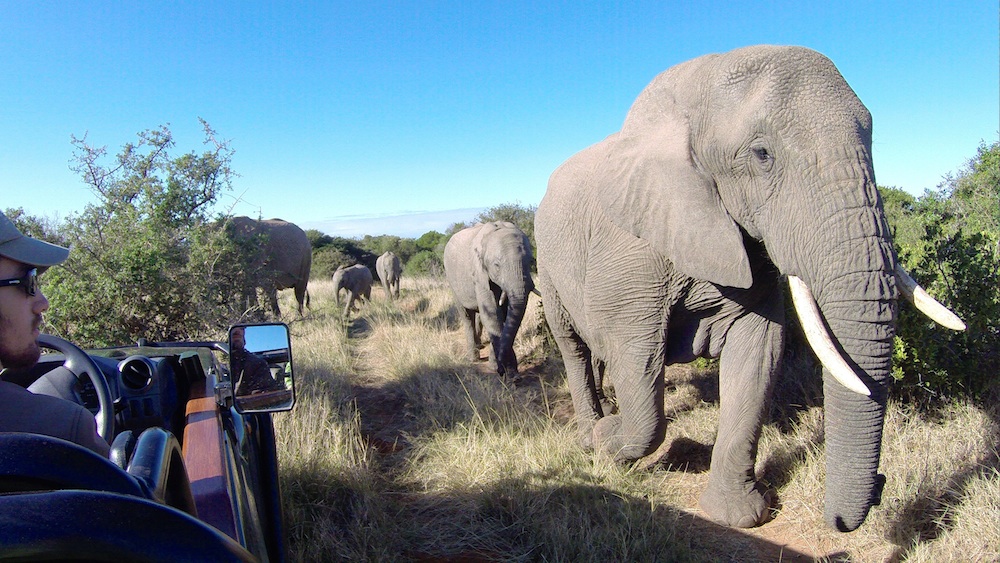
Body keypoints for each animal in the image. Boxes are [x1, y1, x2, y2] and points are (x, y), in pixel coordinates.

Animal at [446, 221, 540, 378]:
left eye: (531, 261)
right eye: (497, 265)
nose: (502, 371)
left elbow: (504, 314)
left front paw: (507, 371)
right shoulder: (479, 273)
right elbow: (492, 314)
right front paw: (503, 370)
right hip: (452, 281)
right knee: (466, 316)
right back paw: (473, 358)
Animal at [536, 44, 964, 532]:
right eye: (762, 155)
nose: (879, 488)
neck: (695, 84)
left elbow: (758, 356)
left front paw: (737, 516)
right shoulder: (629, 255)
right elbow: (639, 369)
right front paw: (609, 439)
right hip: (548, 261)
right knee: (574, 346)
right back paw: (589, 431)